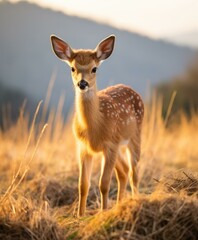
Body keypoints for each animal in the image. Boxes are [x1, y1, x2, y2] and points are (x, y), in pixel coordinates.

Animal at [50, 34, 144, 217]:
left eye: (94, 69)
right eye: (72, 68)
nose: (82, 84)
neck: (94, 127)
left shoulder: (110, 144)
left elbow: (104, 184)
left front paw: (102, 212)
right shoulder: (83, 147)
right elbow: (82, 184)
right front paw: (80, 215)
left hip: (134, 136)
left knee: (133, 173)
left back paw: (135, 201)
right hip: (118, 147)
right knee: (124, 172)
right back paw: (119, 205)